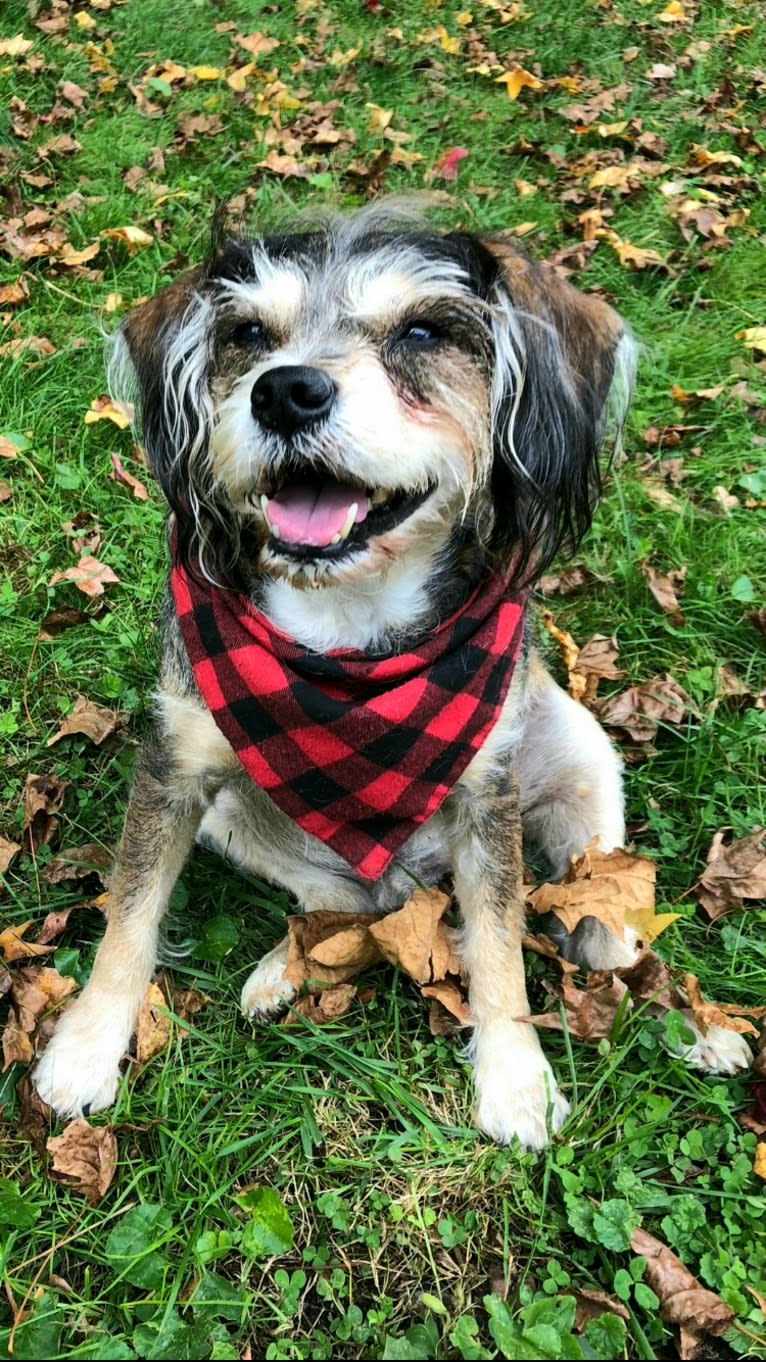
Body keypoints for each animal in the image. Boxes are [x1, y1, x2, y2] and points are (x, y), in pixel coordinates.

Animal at [34, 201, 746, 1144]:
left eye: (422, 331)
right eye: (247, 334)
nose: (284, 391)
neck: (346, 637)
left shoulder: (486, 794)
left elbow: (499, 943)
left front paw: (515, 1077)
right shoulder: (174, 767)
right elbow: (130, 912)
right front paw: (86, 1046)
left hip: (583, 758)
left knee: (602, 929)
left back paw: (687, 1021)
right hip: (236, 817)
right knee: (347, 902)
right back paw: (287, 966)